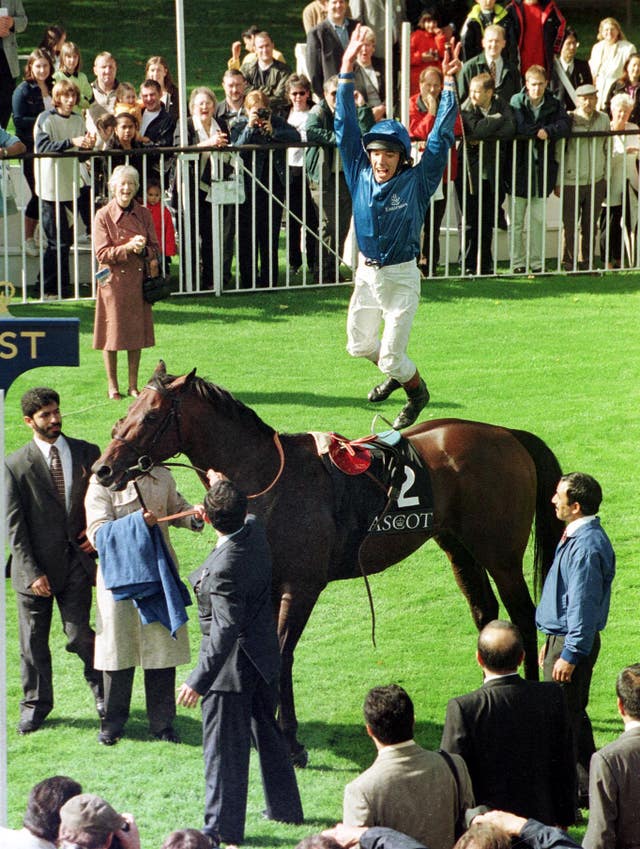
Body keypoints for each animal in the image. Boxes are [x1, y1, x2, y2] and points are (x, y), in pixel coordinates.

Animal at [92, 362, 564, 764]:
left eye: (151, 416)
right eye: (129, 408)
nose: (103, 468)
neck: (269, 479)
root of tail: (507, 434)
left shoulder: (301, 587)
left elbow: (282, 655)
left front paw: (290, 741)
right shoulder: (265, 585)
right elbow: (263, 653)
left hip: (501, 553)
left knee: (523, 613)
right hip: (459, 547)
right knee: (485, 612)